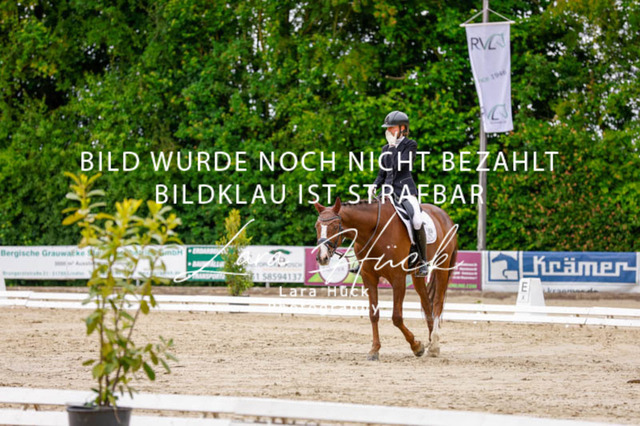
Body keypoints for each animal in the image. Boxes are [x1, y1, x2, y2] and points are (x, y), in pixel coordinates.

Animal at [313, 196, 458, 360]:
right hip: (417, 274)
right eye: (317, 226)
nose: (322, 257)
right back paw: (431, 341)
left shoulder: (398, 278)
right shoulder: (369, 277)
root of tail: (444, 215)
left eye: (335, 226)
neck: (374, 231)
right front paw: (374, 350)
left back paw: (434, 345)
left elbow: (397, 317)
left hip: (442, 265)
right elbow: (373, 314)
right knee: (427, 303)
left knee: (438, 302)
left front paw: (416, 346)